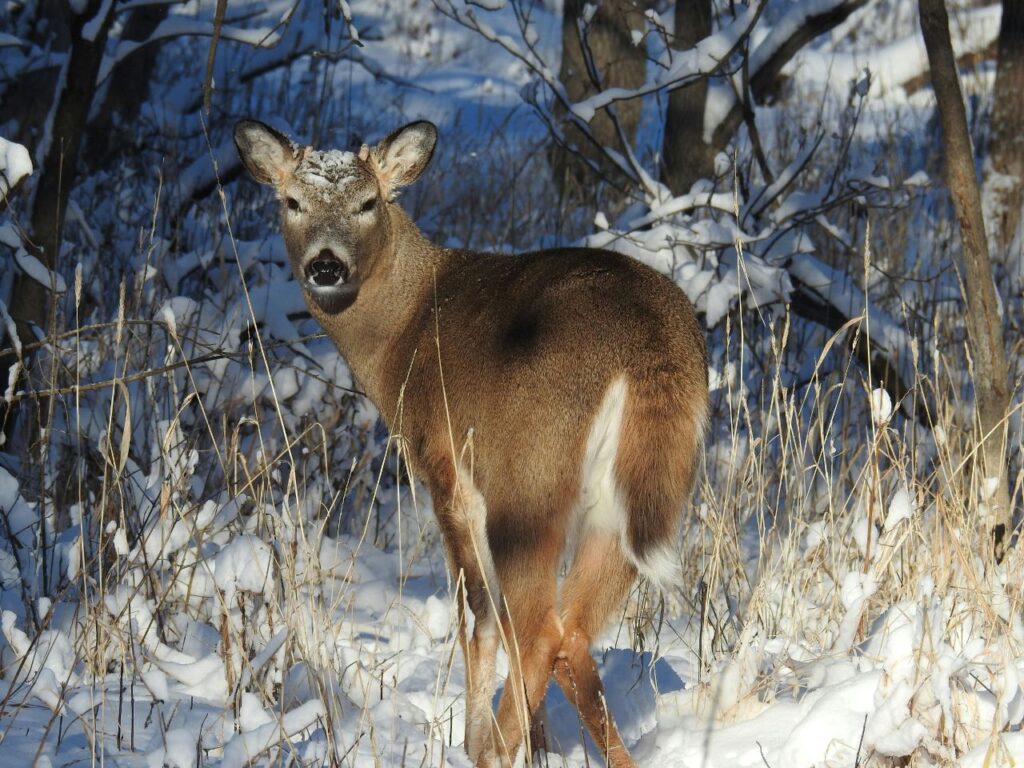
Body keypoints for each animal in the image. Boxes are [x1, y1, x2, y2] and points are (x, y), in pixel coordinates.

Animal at [234, 118, 708, 768]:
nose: (326, 265)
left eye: (368, 202)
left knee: (539, 626)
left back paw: (494, 752)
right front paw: (536, 744)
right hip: (637, 495)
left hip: (528, 478)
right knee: (572, 629)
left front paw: (475, 740)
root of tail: (647, 348)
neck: (403, 331)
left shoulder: (444, 465)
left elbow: (477, 613)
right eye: (292, 202)